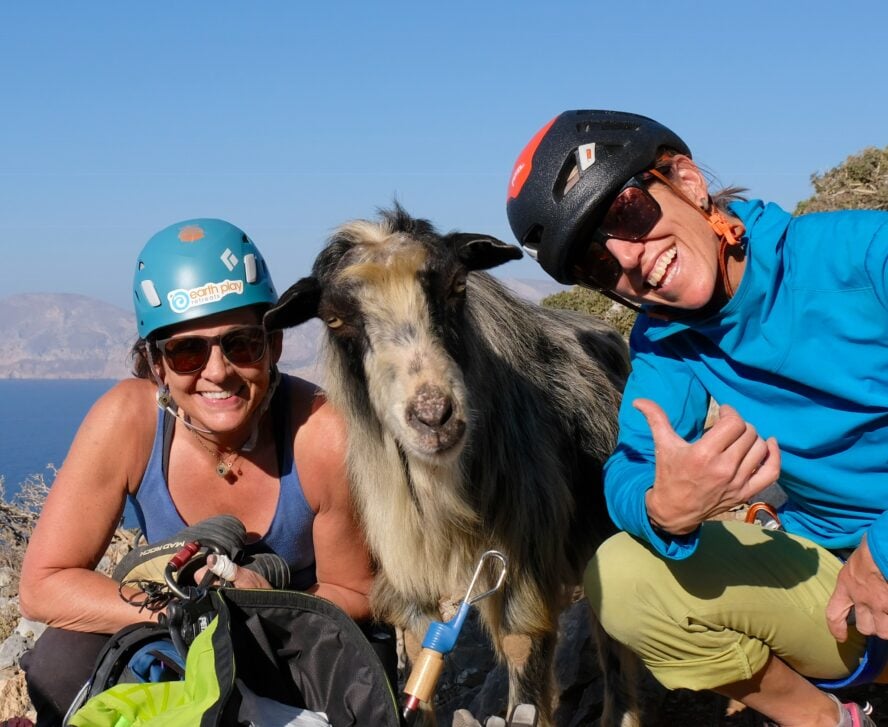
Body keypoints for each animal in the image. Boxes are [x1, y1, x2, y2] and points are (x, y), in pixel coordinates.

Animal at [268, 206, 636, 727]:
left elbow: (522, 654)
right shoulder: (408, 574)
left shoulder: (523, 557)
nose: (433, 416)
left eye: (457, 286)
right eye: (335, 318)